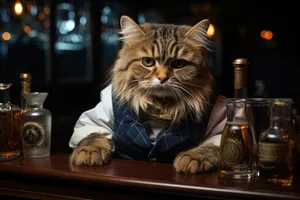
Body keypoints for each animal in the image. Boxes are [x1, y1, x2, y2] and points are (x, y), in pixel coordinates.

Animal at [69, 15, 226, 173]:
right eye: (148, 62)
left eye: (179, 64)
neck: (159, 107)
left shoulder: (220, 121)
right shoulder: (97, 117)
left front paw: (193, 158)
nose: (162, 78)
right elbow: (94, 136)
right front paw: (89, 152)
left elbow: (212, 146)